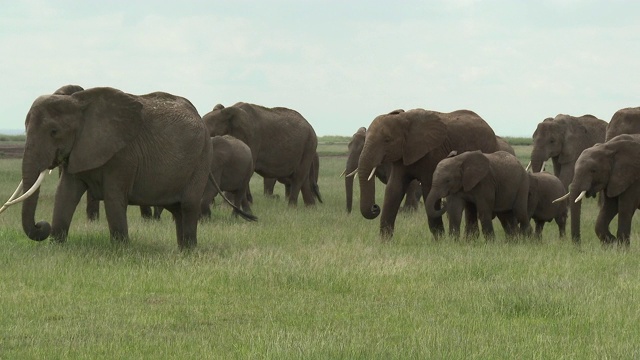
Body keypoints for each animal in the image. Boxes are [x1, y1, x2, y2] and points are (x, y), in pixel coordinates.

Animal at [3, 87, 218, 250]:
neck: (78, 103)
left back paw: (189, 251)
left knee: (188, 206)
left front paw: (121, 251)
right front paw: (56, 247)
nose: (41, 225)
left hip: (202, 157)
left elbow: (114, 199)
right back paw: (182, 251)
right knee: (177, 209)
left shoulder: (124, 155)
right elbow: (65, 194)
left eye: (54, 132)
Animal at [356, 108, 500, 240]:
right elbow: (394, 188)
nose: (375, 207)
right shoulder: (402, 154)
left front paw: (439, 240)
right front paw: (384, 241)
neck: (404, 119)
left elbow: (428, 188)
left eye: (387, 140)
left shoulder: (432, 153)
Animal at [528, 114, 608, 242]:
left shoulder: (575, 148)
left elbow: (566, 175)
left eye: (552, 141)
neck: (559, 124)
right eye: (533, 139)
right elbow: (558, 171)